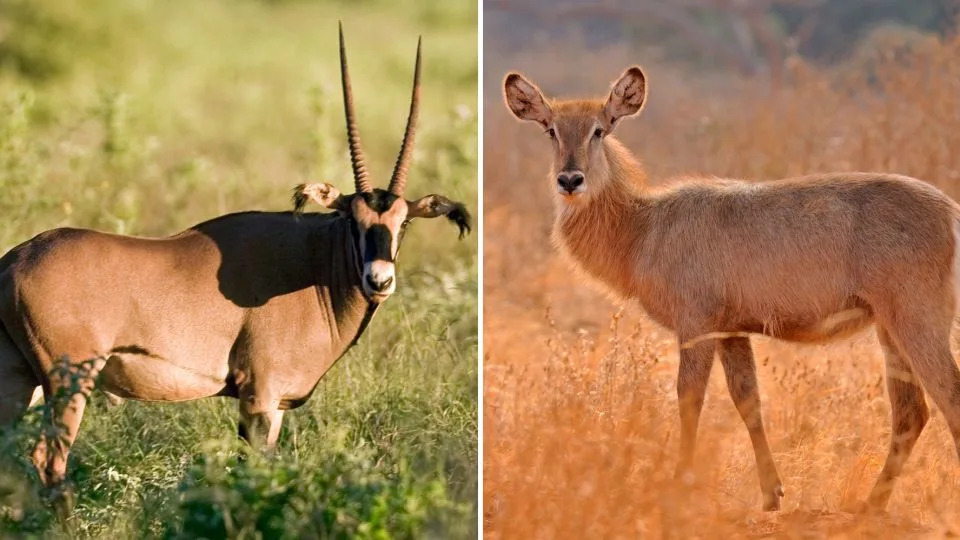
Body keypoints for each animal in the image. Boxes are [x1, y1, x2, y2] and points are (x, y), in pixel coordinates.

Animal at [0, 23, 472, 508]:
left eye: (403, 223)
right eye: (351, 219)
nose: (379, 279)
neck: (316, 264)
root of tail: (14, 262)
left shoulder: (275, 406)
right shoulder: (260, 396)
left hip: (18, 379)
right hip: (67, 381)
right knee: (48, 460)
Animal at [502, 66, 960, 510]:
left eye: (600, 128)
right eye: (550, 130)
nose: (570, 180)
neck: (642, 229)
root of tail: (952, 212)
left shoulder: (696, 324)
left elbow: (689, 398)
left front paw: (680, 486)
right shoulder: (732, 329)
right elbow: (748, 400)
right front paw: (771, 494)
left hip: (917, 316)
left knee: (948, 397)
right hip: (889, 326)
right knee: (911, 412)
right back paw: (870, 506)